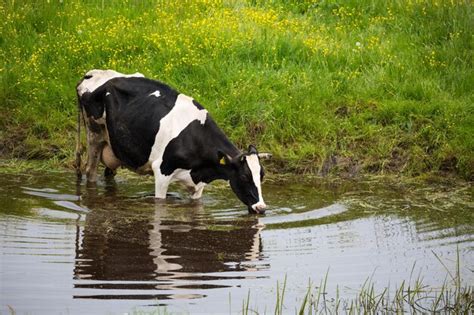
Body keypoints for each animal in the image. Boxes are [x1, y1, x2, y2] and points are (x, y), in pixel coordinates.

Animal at [76, 69, 272, 215]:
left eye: (261, 175)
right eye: (245, 176)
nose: (261, 208)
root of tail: (91, 74)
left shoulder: (198, 185)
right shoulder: (162, 171)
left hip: (115, 146)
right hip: (93, 135)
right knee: (90, 172)